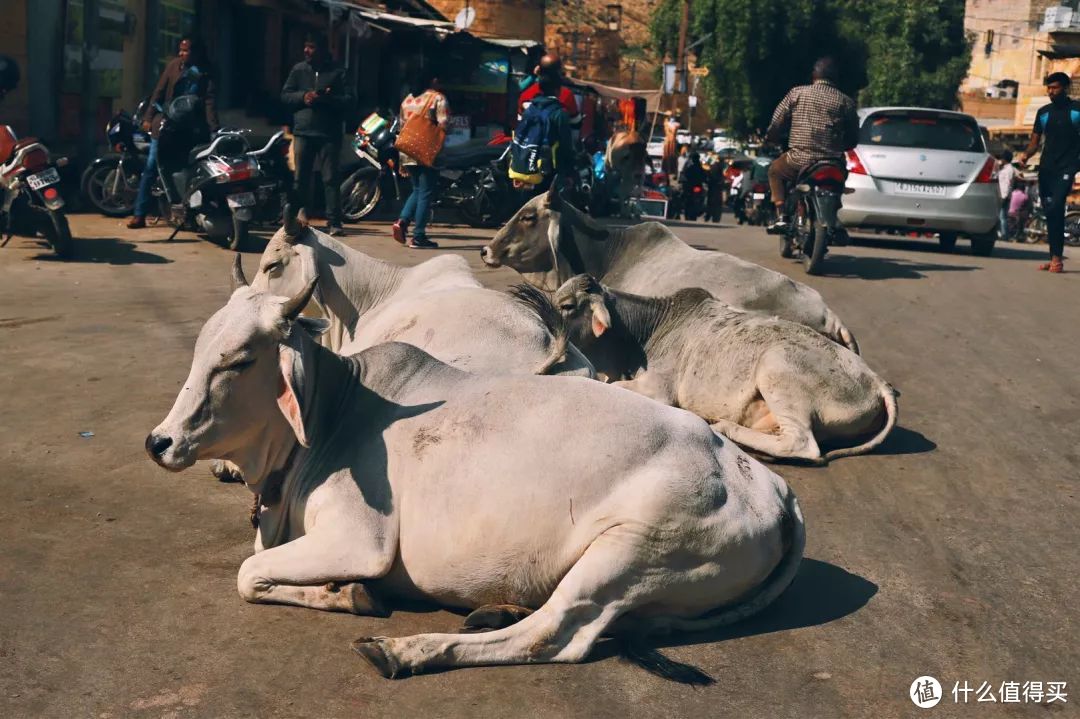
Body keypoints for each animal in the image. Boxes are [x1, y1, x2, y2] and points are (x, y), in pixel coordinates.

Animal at [141, 262, 803, 677]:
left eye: (239, 360)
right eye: (201, 348)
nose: (158, 441)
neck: (331, 414)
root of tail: (773, 488)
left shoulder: (360, 539)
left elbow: (248, 574)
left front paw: (351, 594)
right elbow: (256, 569)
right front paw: (340, 592)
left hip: (632, 551)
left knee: (555, 634)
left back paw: (407, 651)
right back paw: (492, 609)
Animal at [535, 274, 898, 464]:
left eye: (567, 306)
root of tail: (877, 380)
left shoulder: (659, 390)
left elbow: (609, 387)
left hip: (777, 369)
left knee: (802, 444)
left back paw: (724, 426)